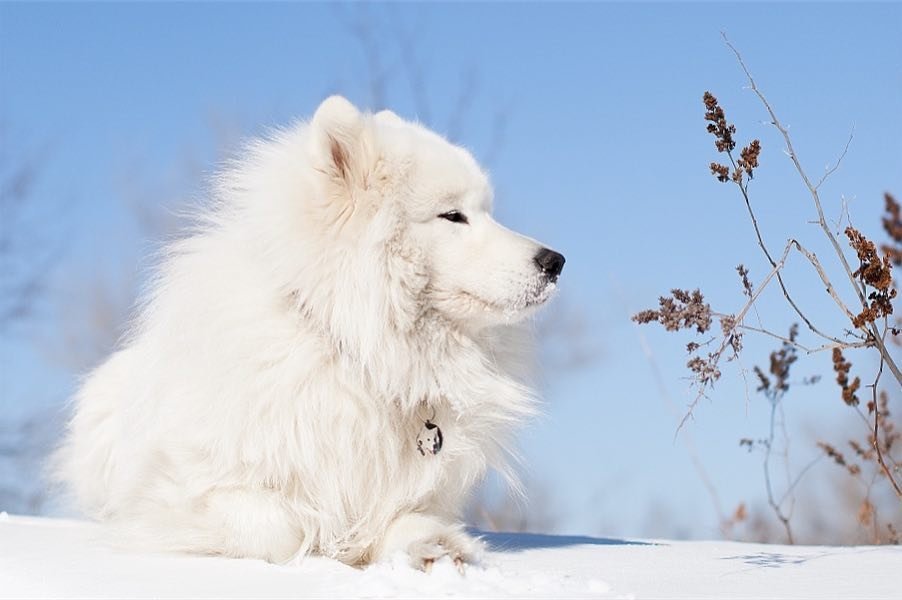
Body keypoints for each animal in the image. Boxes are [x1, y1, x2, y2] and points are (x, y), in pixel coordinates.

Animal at [53, 96, 564, 568]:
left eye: (487, 211)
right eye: (453, 216)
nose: (556, 260)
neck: (355, 350)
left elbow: (404, 518)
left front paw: (433, 547)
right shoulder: (185, 488)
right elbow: (280, 526)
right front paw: (328, 541)